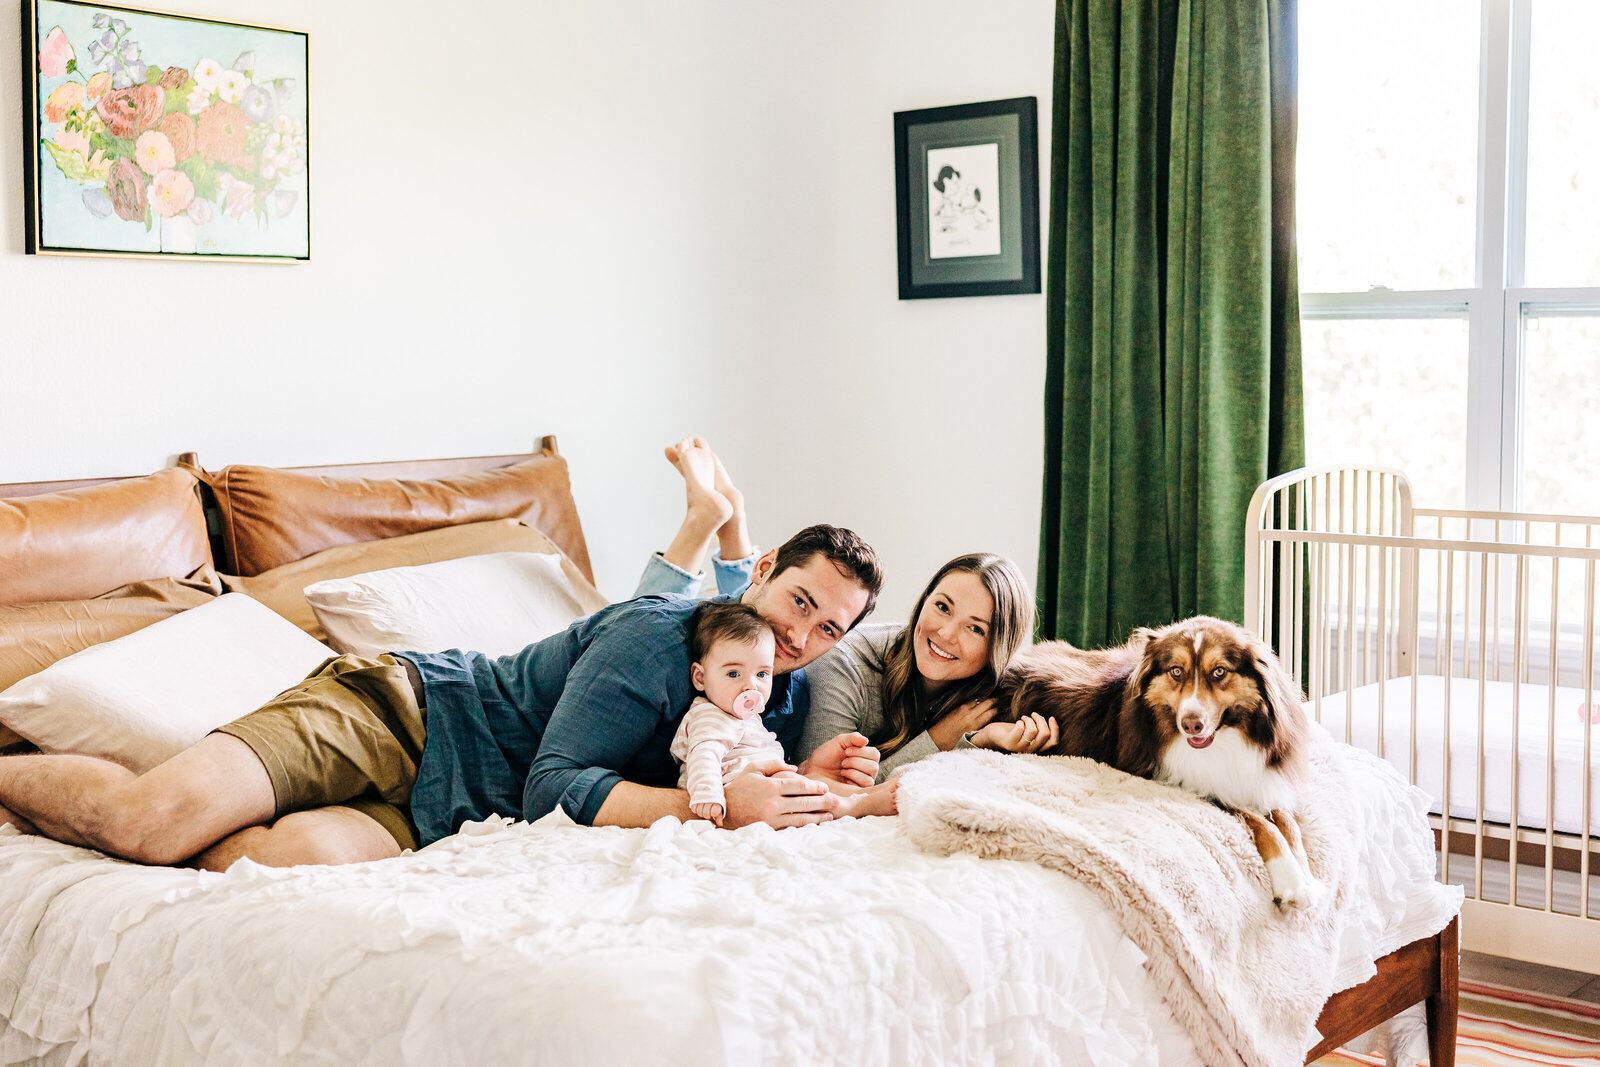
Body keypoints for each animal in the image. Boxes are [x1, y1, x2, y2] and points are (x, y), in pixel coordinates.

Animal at [1004, 617, 1318, 908]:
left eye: (1219, 671)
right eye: (1176, 671)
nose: (1191, 724)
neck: (1224, 741)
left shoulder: (1263, 782)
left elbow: (1289, 824)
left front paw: (1306, 876)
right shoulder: (1193, 786)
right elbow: (1261, 824)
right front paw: (1290, 882)